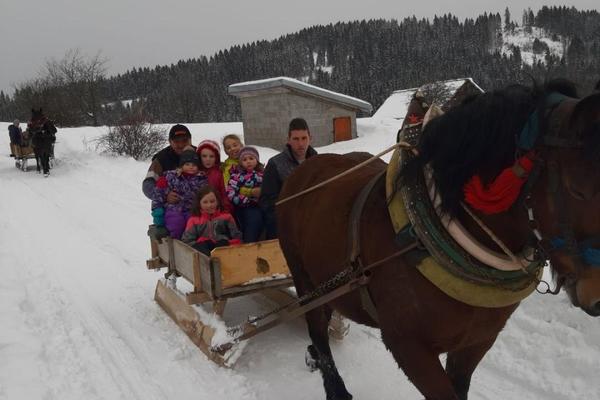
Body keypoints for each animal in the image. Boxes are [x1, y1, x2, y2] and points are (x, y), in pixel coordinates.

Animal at [276, 79, 600, 398]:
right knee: (317, 326)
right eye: (578, 190)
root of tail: (302, 171)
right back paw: (334, 386)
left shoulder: (476, 342)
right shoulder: (408, 347)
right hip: (304, 276)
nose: (597, 299)